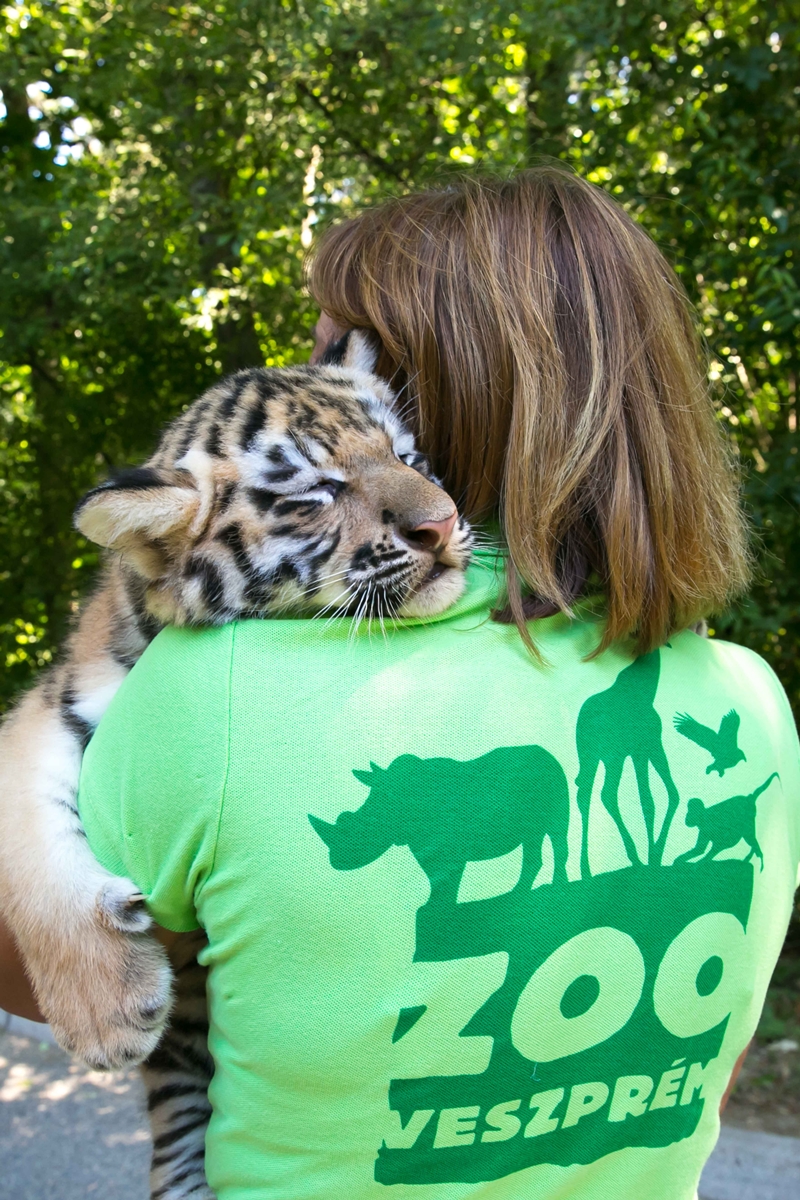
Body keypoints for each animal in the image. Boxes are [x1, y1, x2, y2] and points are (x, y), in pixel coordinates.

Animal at [0, 330, 473, 1200]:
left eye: (408, 455)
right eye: (316, 492)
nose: (445, 521)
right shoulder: (48, 708)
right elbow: (28, 849)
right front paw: (106, 1016)